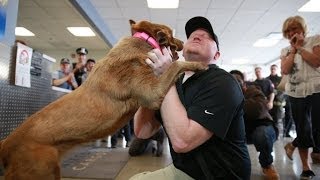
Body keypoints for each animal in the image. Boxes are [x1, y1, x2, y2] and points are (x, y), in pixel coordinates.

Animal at [0, 20, 206, 179]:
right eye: (172, 34)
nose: (183, 41)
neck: (142, 41)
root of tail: (6, 145)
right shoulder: (152, 92)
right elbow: (175, 65)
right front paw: (198, 65)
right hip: (42, 171)